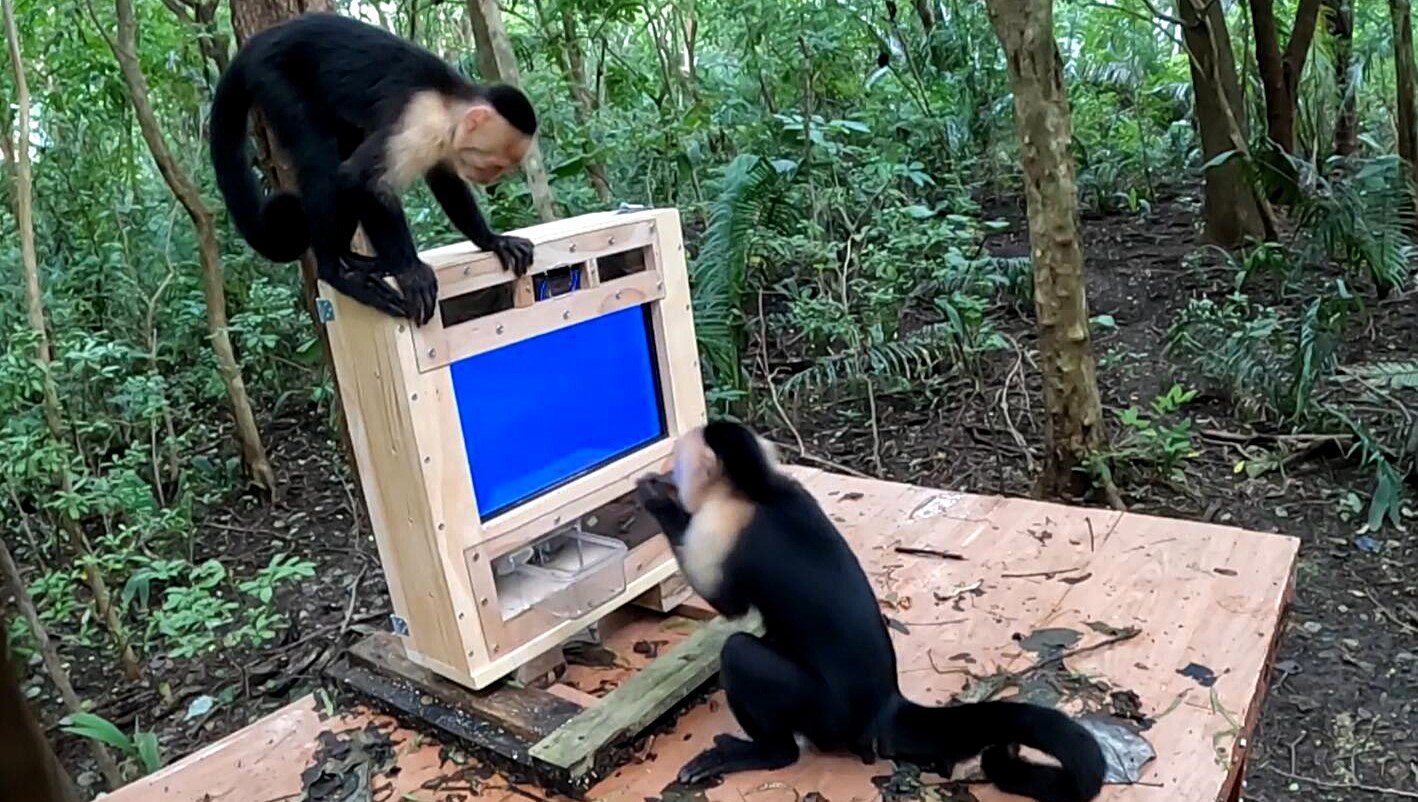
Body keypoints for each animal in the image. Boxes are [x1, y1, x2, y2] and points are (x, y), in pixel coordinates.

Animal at [209, 13, 538, 325]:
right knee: (322, 160)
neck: (448, 103)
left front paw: (491, 239)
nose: (489, 177)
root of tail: (257, 43)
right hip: (273, 77)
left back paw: (354, 258)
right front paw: (410, 271)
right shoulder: (421, 125)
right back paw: (336, 271)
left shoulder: (443, 142)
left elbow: (445, 181)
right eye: (495, 164)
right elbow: (362, 180)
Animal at [634, 422, 1106, 802]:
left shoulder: (719, 527)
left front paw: (657, 500)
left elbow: (726, 605)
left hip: (826, 716)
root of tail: (885, 707)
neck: (758, 489)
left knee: (740, 654)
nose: (668, 476)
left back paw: (768, 752)